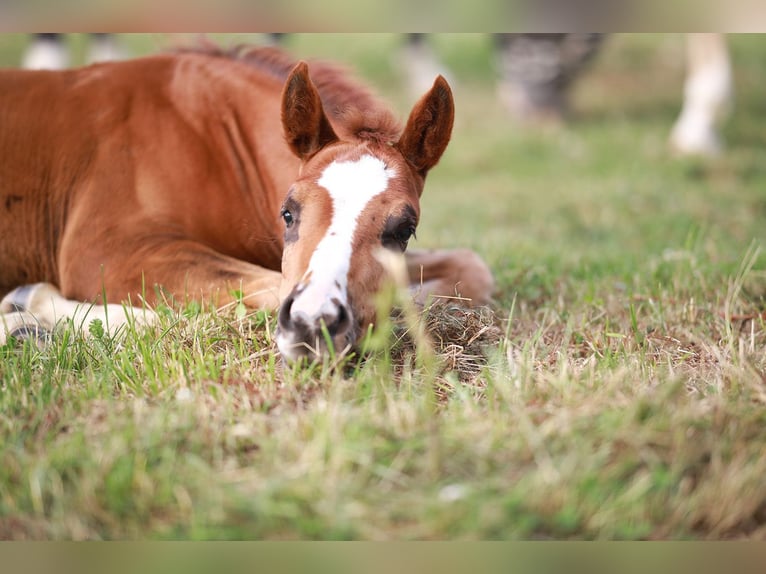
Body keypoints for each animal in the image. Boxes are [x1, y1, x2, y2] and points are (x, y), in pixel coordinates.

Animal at [0, 44, 494, 363]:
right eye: (288, 212)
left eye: (403, 230)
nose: (312, 326)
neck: (211, 139)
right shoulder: (107, 251)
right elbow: (256, 291)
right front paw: (31, 311)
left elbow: (470, 271)